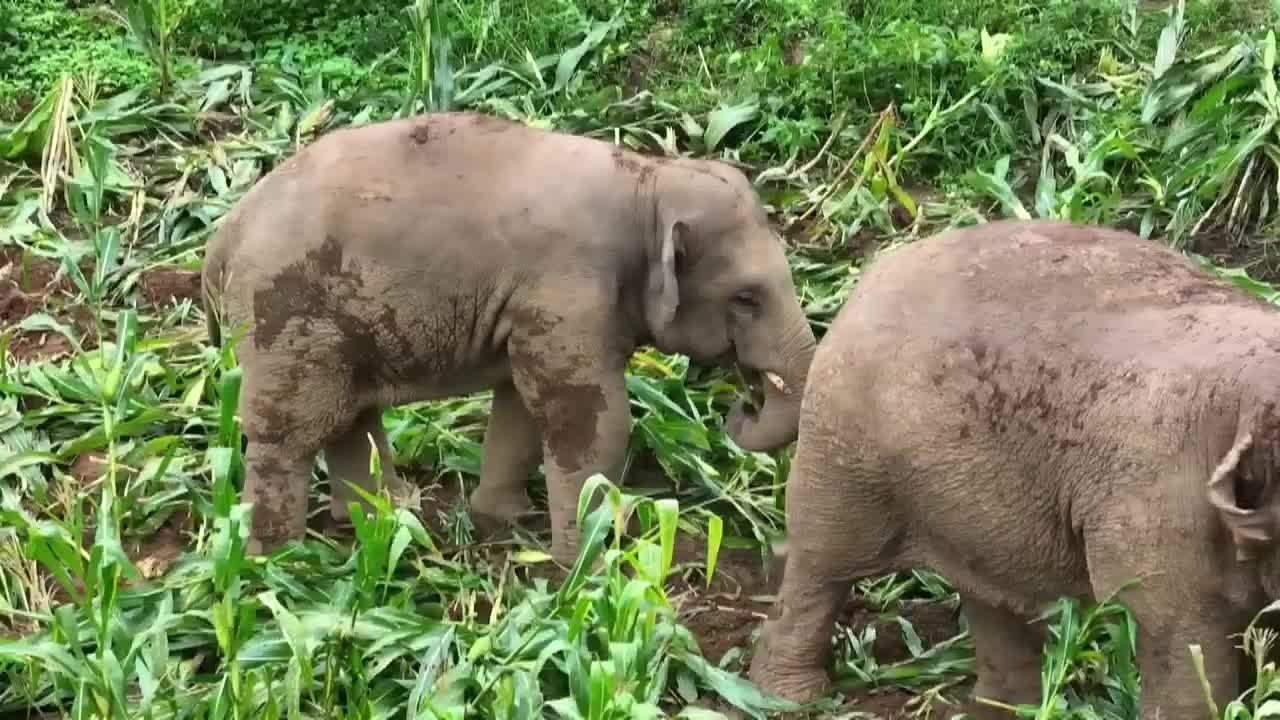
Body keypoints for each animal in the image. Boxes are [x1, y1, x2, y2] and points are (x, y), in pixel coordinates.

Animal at [200, 111, 817, 565]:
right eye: (747, 297)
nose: (743, 403)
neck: (649, 179)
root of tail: (222, 236)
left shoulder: (535, 312)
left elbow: (520, 404)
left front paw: (503, 519)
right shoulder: (566, 293)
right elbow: (589, 418)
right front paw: (587, 567)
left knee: (347, 416)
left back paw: (384, 519)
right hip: (285, 314)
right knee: (290, 433)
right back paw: (275, 560)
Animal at [748, 219, 1280, 718]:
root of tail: (868, 277)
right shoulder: (1157, 505)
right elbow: (1180, 633)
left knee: (989, 598)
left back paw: (1004, 708)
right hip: (842, 448)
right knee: (822, 564)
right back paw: (787, 697)